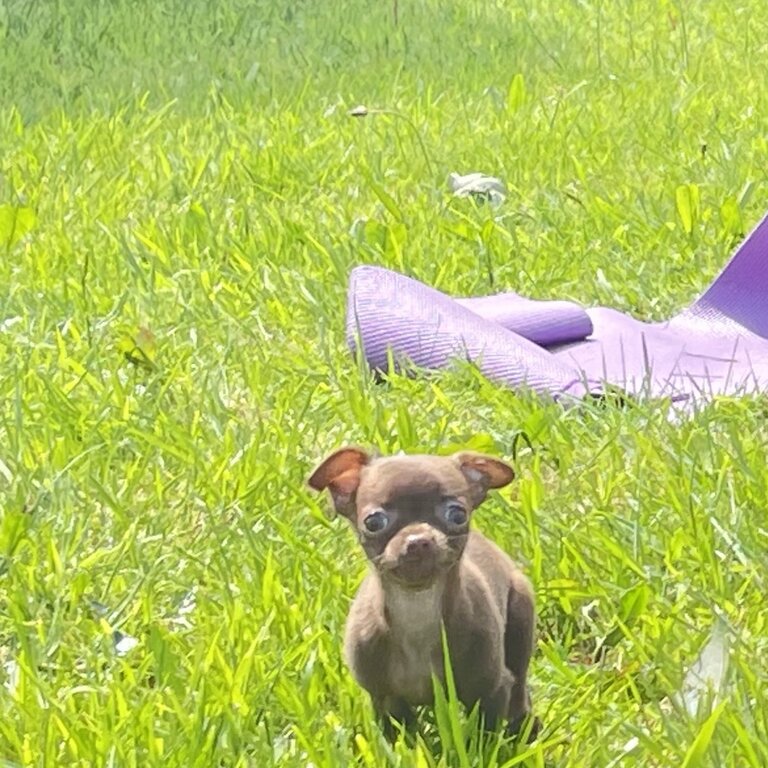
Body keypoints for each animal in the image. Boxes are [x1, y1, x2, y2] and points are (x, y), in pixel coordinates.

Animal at [308, 448, 540, 740]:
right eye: (374, 522)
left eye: (457, 515)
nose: (418, 540)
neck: (417, 607)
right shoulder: (386, 699)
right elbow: (400, 738)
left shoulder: (490, 690)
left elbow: (484, 737)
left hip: (520, 620)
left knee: (519, 687)